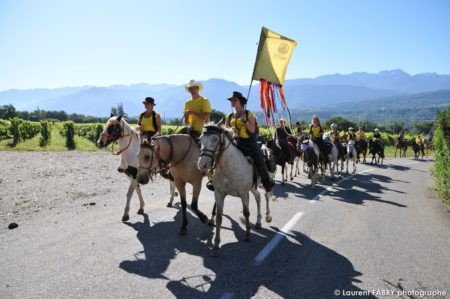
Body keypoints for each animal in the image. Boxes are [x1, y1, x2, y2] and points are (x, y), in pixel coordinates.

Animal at [198, 125, 274, 256]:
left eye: (215, 139)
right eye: (201, 139)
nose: (202, 164)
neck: (228, 168)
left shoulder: (244, 194)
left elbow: (246, 213)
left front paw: (248, 234)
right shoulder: (219, 193)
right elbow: (219, 217)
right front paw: (216, 245)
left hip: (265, 182)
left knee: (267, 195)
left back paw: (267, 216)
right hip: (252, 187)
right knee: (258, 197)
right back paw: (258, 222)